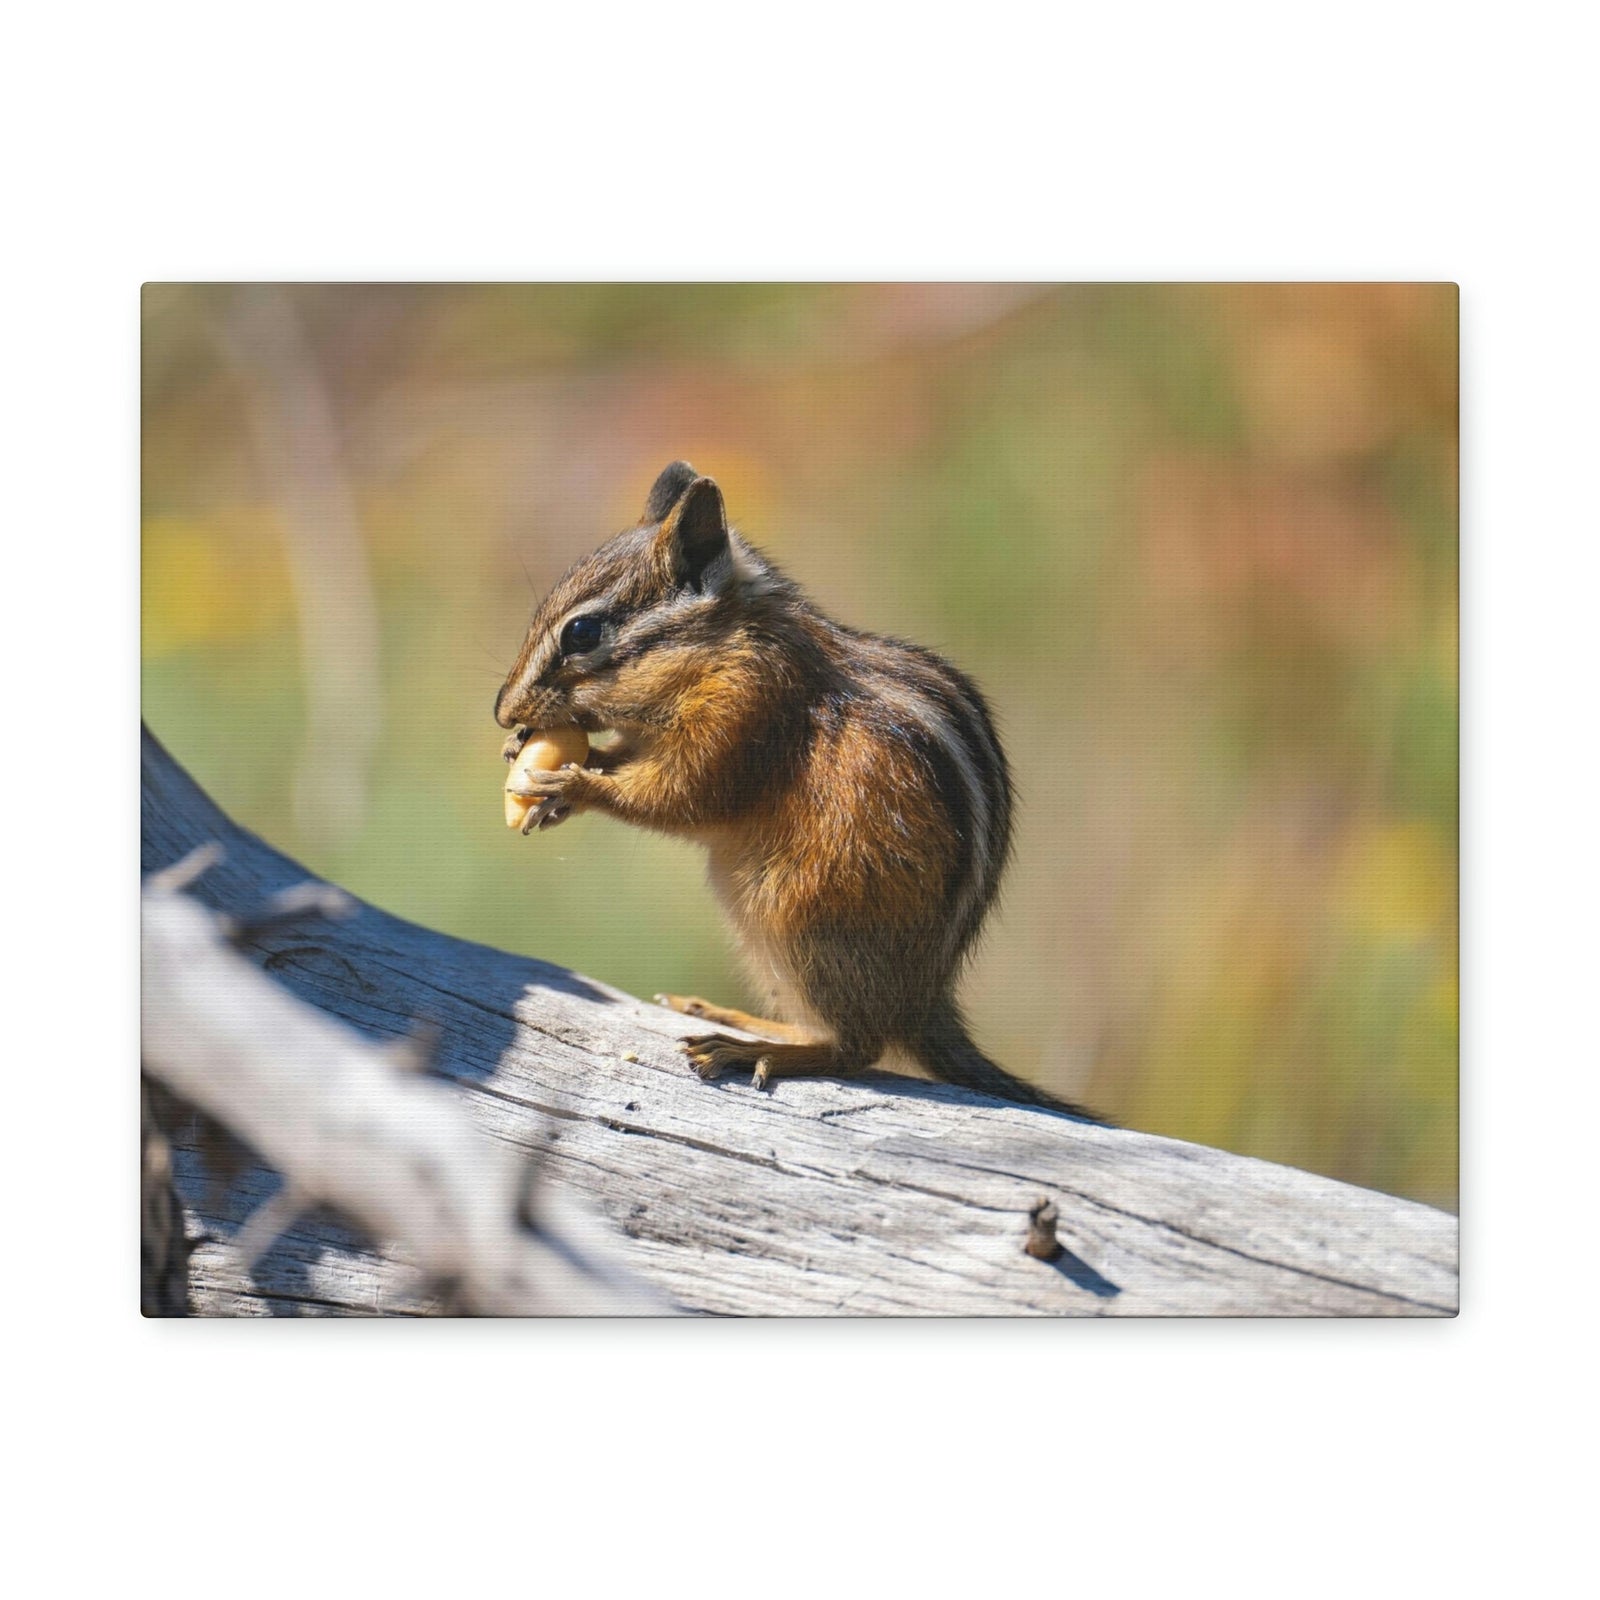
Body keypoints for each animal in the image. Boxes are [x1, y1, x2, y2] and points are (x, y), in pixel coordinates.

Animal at [495, 461, 1100, 1118]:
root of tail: (920, 1001)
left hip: (803, 918)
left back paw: (751, 1050)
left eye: (582, 632)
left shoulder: (747, 714)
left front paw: (571, 783)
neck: (725, 647)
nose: (503, 712)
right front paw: (544, 765)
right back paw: (732, 1017)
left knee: (857, 1048)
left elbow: (682, 796)